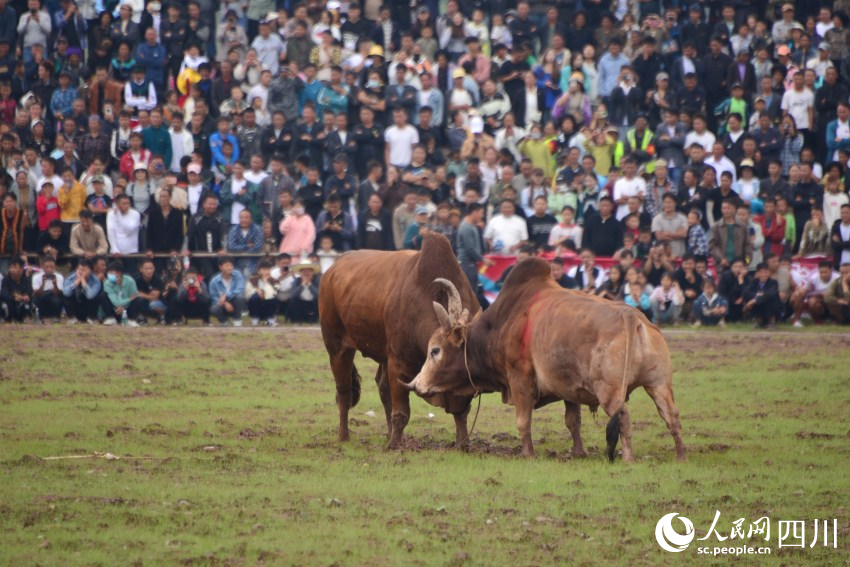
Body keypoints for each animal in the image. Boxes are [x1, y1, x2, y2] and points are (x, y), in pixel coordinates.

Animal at [318, 232, 480, 448]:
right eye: (435, 351)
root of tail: (332, 269)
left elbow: (461, 413)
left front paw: (463, 444)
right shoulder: (398, 363)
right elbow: (401, 412)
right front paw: (394, 445)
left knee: (382, 388)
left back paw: (388, 433)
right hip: (337, 347)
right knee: (344, 393)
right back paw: (344, 436)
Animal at [402, 260, 684, 464]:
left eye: (435, 351)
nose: (415, 384)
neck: (502, 323)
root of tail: (632, 317)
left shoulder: (519, 379)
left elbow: (523, 420)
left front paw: (527, 454)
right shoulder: (570, 387)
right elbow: (573, 421)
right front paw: (578, 453)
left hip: (610, 392)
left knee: (623, 417)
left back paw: (627, 458)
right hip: (659, 385)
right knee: (671, 417)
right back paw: (681, 456)